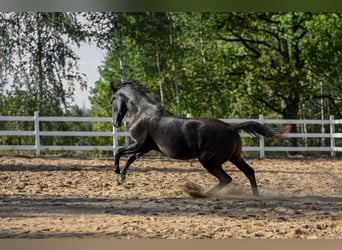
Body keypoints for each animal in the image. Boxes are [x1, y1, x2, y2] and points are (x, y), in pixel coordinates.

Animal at [110, 80, 292, 197]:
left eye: (112, 100)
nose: (115, 123)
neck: (143, 111)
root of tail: (230, 128)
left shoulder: (140, 144)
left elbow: (119, 152)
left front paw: (117, 173)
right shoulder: (145, 147)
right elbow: (130, 159)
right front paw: (120, 179)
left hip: (209, 161)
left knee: (226, 178)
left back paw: (200, 193)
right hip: (234, 157)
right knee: (249, 172)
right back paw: (255, 196)